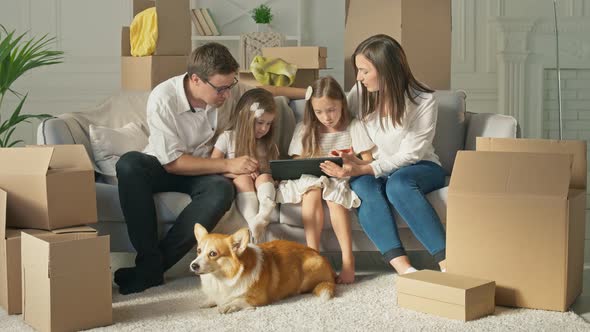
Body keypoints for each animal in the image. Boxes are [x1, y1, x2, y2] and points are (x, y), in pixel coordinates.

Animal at [191, 223, 338, 314]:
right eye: (198, 251)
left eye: (213, 253)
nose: (193, 265)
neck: (221, 279)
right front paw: (208, 302)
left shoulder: (258, 299)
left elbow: (238, 300)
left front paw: (227, 306)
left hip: (310, 267)